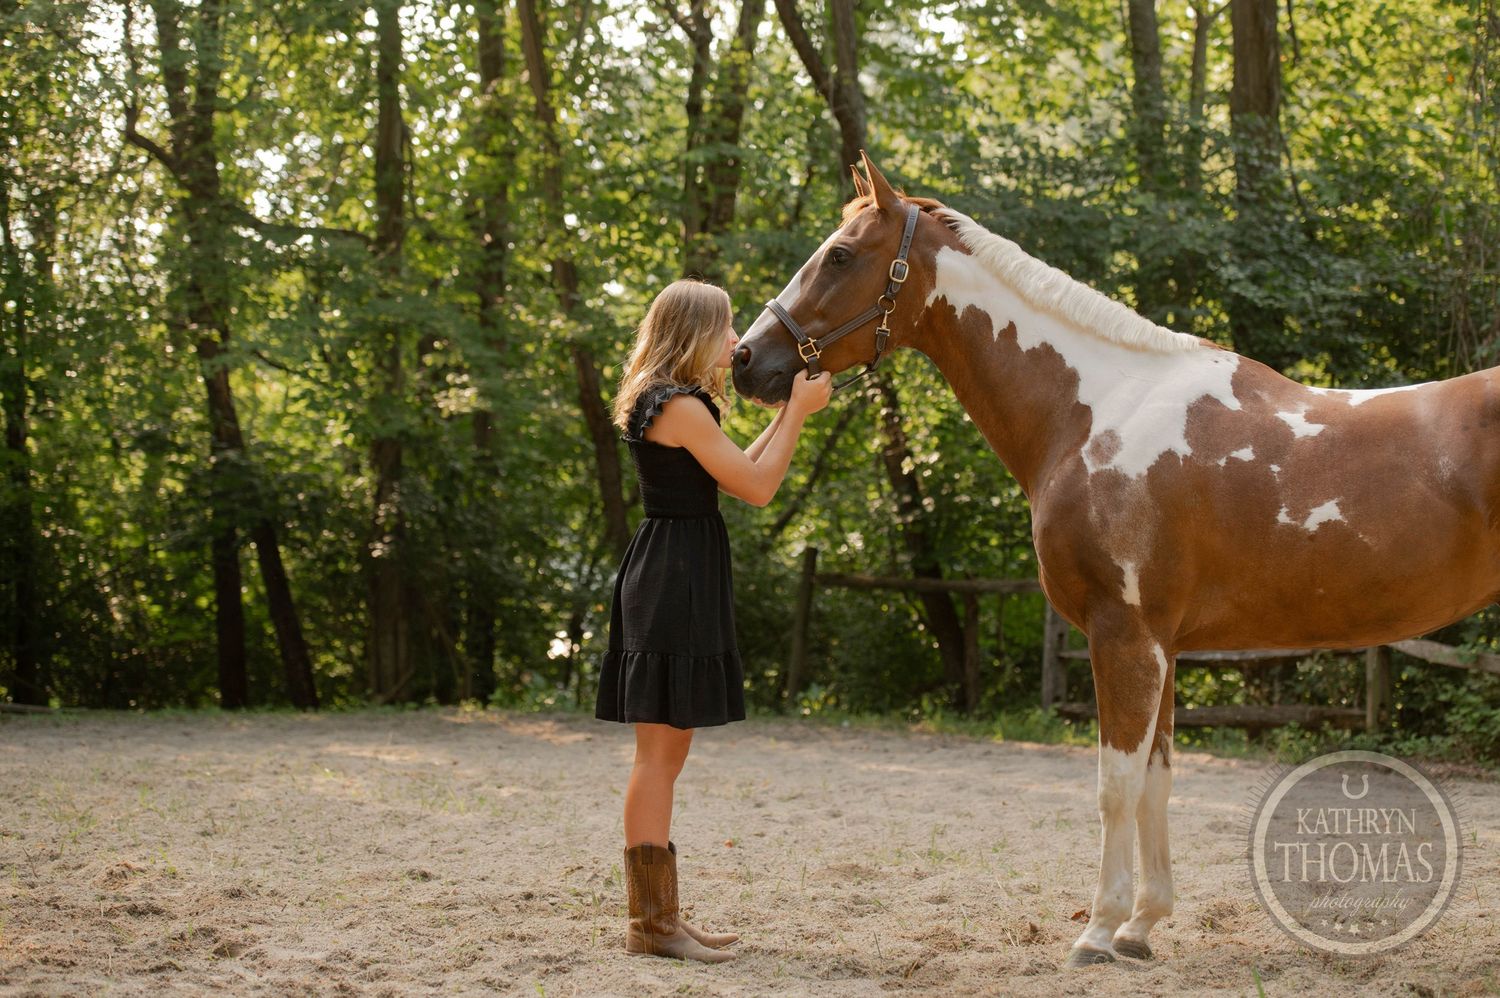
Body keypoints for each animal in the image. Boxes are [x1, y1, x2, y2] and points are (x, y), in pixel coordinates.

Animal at [731, 153, 1500, 968]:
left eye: (841, 256)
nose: (746, 360)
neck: (1096, 410)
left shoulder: (1122, 637)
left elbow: (1114, 786)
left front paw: (1098, 930)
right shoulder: (1162, 645)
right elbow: (1156, 782)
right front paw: (1141, 925)